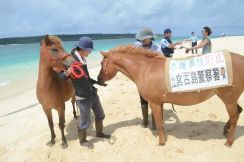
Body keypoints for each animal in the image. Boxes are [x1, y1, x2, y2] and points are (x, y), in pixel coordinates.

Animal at [97, 45, 244, 147]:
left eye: (101, 63)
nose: (98, 79)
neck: (146, 69)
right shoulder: (160, 103)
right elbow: (160, 122)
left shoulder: (155, 103)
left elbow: (159, 123)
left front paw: (161, 142)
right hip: (229, 99)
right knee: (238, 111)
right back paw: (225, 131)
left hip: (228, 99)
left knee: (234, 116)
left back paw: (229, 141)